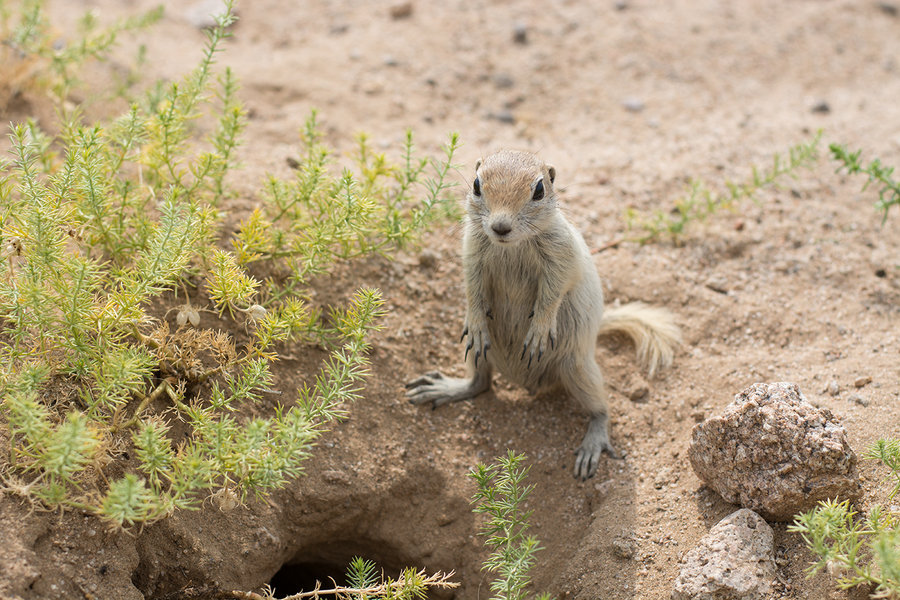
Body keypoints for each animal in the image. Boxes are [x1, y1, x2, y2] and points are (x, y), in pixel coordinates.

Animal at [404, 152, 680, 480]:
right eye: (476, 185)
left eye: (539, 190)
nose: (500, 227)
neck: (511, 247)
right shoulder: (472, 251)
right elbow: (472, 289)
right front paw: (475, 321)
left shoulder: (561, 256)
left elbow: (552, 294)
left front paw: (538, 332)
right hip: (476, 354)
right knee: (479, 383)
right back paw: (443, 387)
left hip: (578, 368)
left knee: (602, 409)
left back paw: (591, 447)